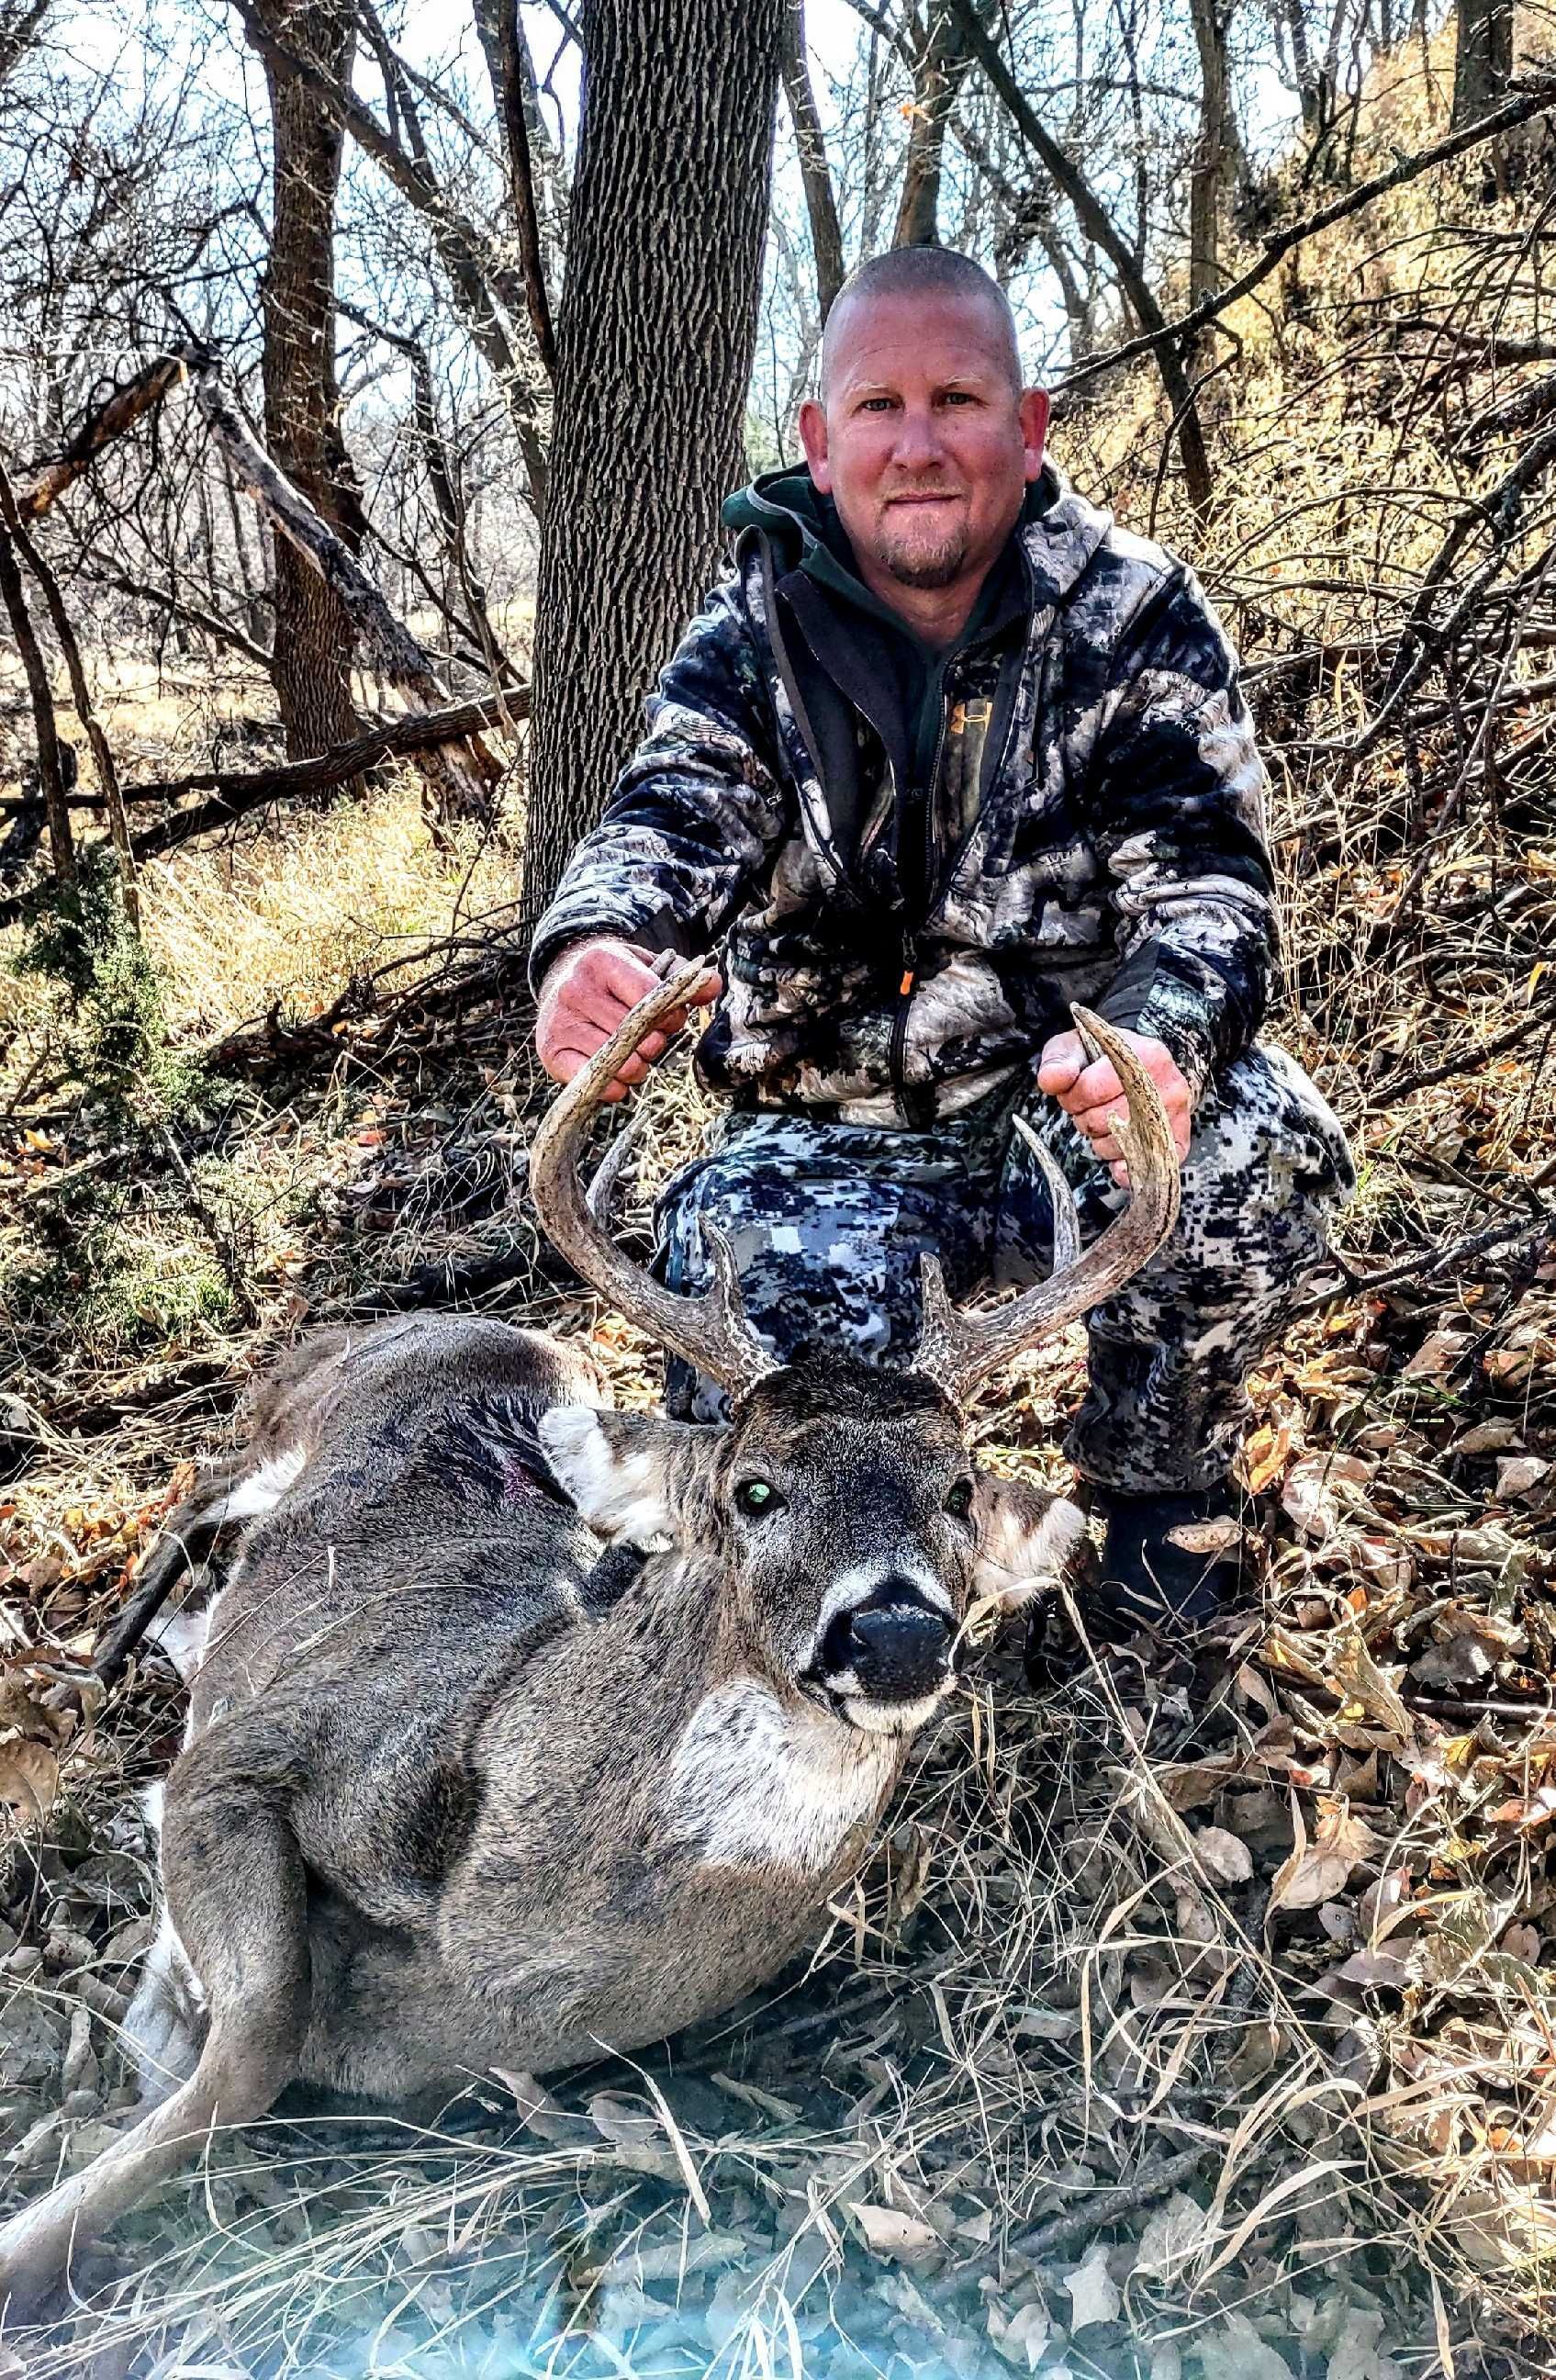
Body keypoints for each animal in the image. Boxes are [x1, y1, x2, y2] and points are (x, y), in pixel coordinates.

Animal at [0, 967, 1180, 2315]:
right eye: (754, 1490)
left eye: (958, 1491)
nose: (890, 1633)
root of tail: (440, 1321)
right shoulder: (252, 1755)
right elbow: (247, 2046)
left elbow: (232, 2048)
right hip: (277, 1422)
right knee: (191, 1487)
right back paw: (85, 1662)